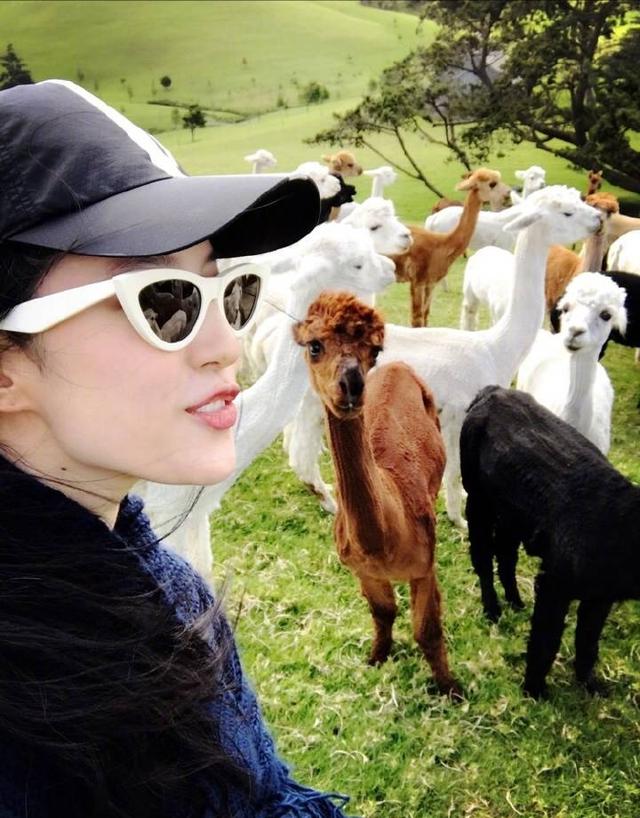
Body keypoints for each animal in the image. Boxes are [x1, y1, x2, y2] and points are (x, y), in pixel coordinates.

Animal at [294, 291, 461, 698]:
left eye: (374, 349)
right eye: (314, 346)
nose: (352, 384)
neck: (383, 542)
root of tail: (401, 367)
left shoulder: (424, 564)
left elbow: (427, 630)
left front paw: (451, 687)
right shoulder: (360, 568)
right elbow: (383, 612)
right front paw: (377, 658)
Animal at [392, 168, 511, 327]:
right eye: (492, 183)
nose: (508, 192)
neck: (442, 245)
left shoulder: (431, 282)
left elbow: (425, 316)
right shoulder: (417, 280)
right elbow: (416, 320)